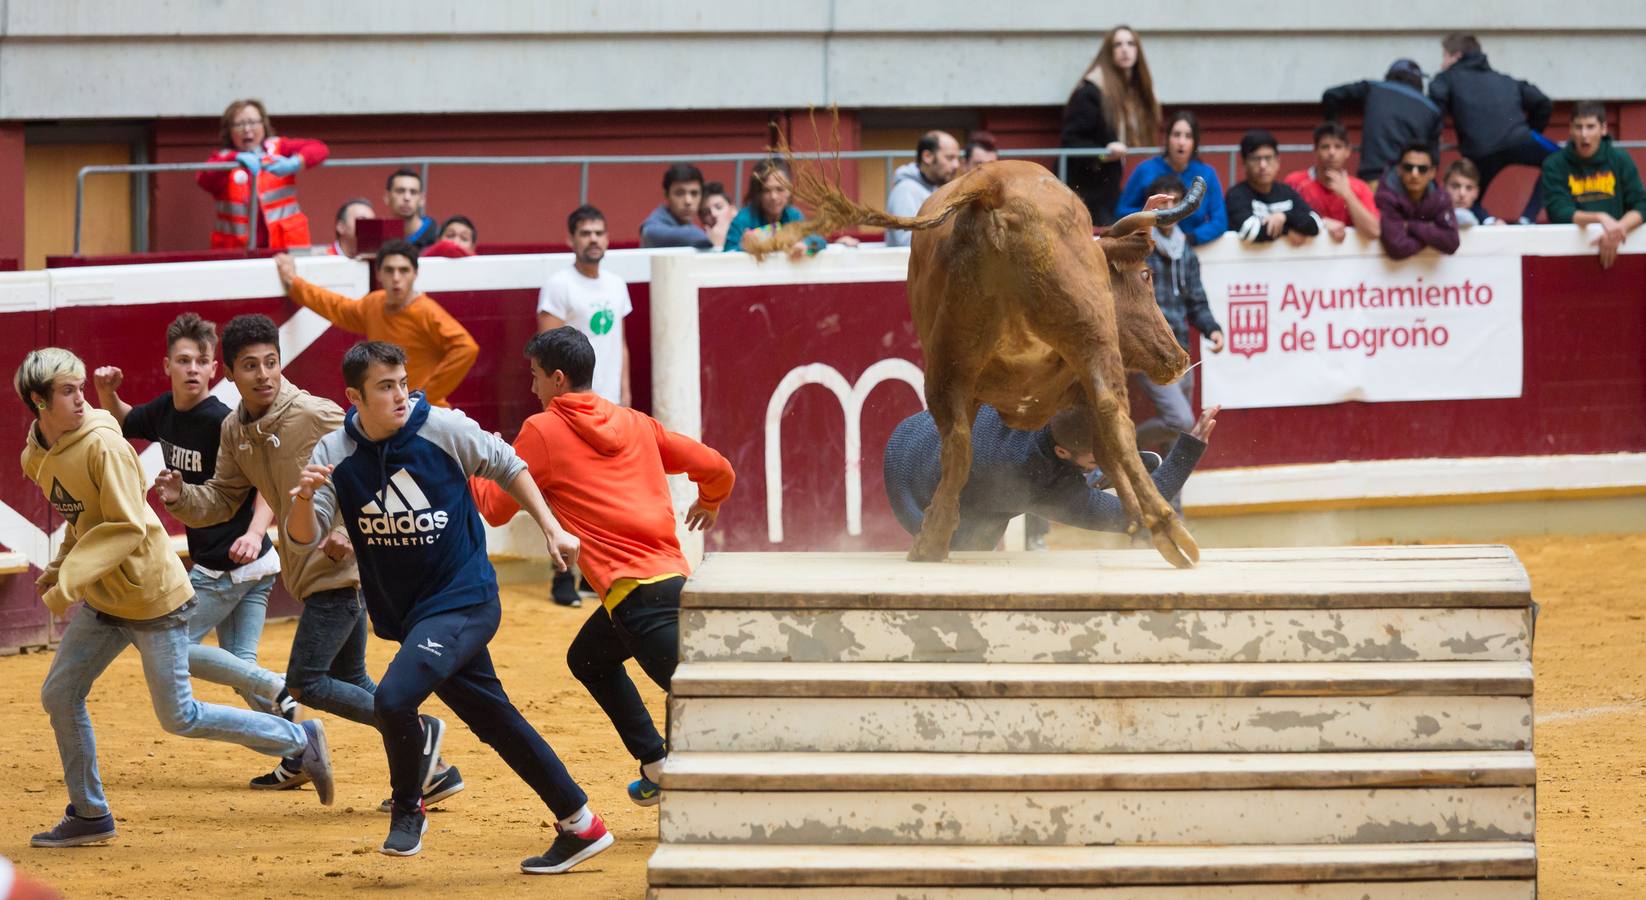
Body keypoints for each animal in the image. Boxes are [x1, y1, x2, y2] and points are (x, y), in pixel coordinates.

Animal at [757, 158, 1211, 565]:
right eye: (1147, 276)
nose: (1179, 357)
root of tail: (995, 186)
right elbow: (1108, 450)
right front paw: (1139, 520)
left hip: (952, 366)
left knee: (960, 445)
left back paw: (931, 541)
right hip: (1081, 341)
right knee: (1109, 415)